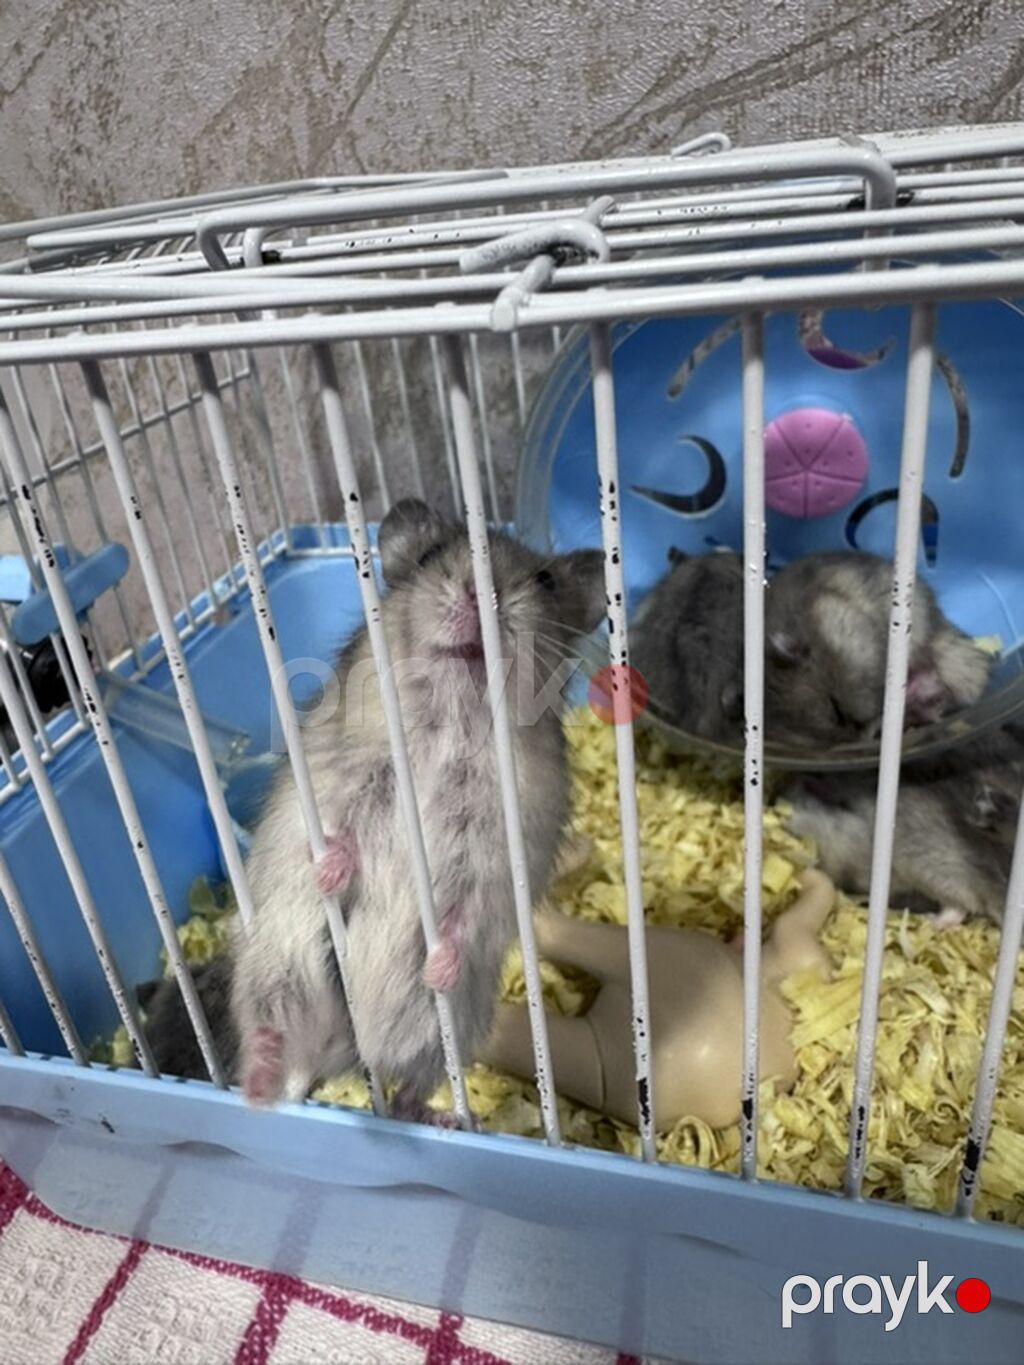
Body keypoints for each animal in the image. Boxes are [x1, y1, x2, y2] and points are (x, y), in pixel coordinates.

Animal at [146, 499, 605, 1116]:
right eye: (432, 557)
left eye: (545, 581)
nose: (479, 591)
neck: (453, 719)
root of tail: (346, 1053)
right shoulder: (351, 779)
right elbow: (340, 832)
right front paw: (329, 874)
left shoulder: (495, 843)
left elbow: (463, 908)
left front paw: (440, 967)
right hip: (279, 966)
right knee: (270, 1035)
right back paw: (259, 1091)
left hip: (453, 1029)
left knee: (414, 1081)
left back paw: (438, 1115)